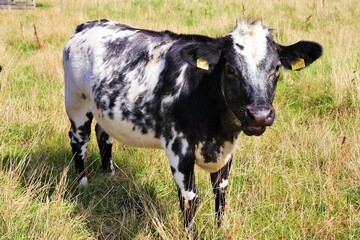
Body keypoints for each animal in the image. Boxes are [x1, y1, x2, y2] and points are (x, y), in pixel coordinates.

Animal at [62, 18, 324, 236]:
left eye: (276, 69)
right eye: (230, 69)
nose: (259, 115)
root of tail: (88, 25)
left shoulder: (226, 152)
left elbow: (221, 190)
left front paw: (220, 229)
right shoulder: (178, 149)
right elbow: (190, 198)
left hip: (104, 109)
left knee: (103, 135)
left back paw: (110, 174)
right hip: (76, 103)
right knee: (79, 140)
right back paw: (83, 184)